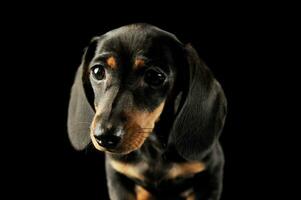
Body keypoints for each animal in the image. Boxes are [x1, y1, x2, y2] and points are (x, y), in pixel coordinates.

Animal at [68, 23, 226, 200]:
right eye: (97, 72)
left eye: (154, 76)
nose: (105, 137)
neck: (152, 149)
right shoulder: (118, 177)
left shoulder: (210, 175)